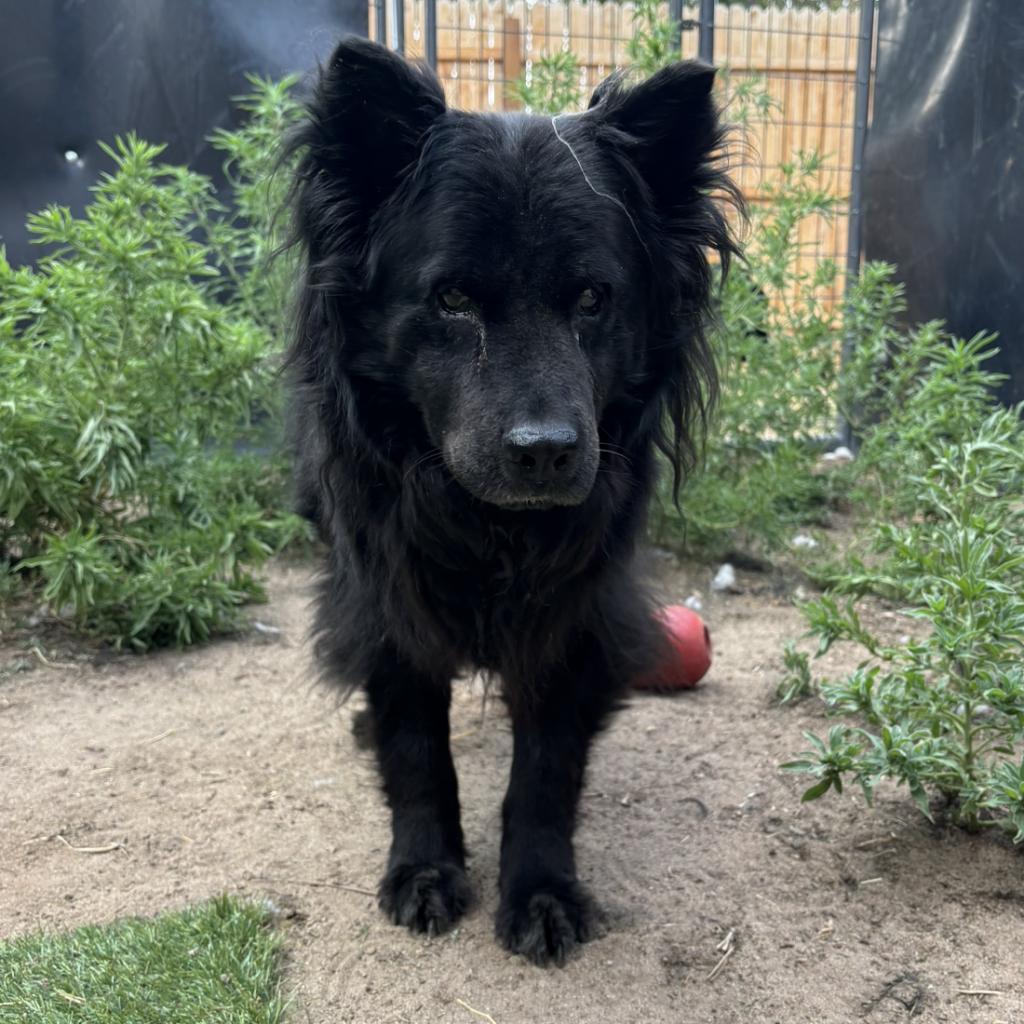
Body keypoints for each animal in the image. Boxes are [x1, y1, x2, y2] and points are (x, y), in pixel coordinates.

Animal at [288, 37, 737, 966]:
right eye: (453, 298)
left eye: (594, 298)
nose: (545, 453)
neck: (486, 527)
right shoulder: (387, 599)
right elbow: (416, 748)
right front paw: (424, 870)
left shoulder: (577, 613)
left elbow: (546, 770)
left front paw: (540, 892)